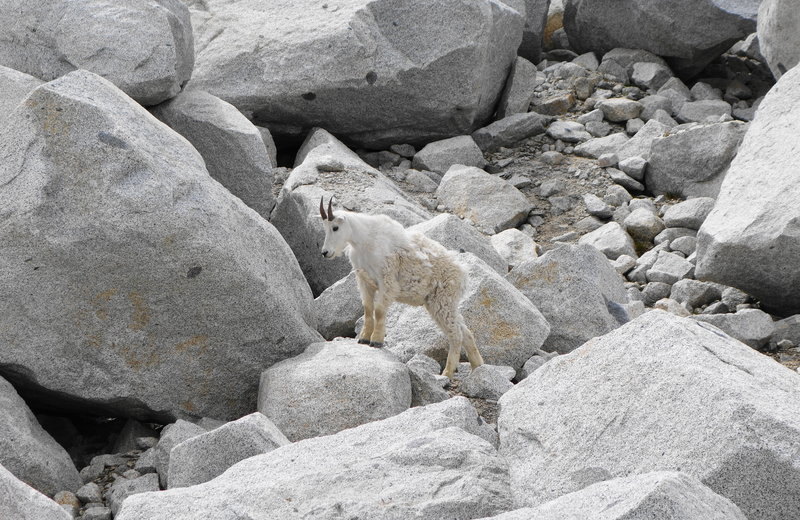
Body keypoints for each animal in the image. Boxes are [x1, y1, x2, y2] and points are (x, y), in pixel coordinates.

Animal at [318, 198, 482, 378]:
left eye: (335, 227)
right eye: (325, 227)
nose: (325, 252)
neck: (364, 240)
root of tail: (463, 275)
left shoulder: (386, 280)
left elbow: (379, 310)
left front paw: (376, 341)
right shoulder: (364, 281)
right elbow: (368, 309)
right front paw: (363, 338)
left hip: (442, 300)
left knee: (456, 334)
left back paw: (447, 372)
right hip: (441, 303)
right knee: (465, 331)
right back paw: (478, 367)